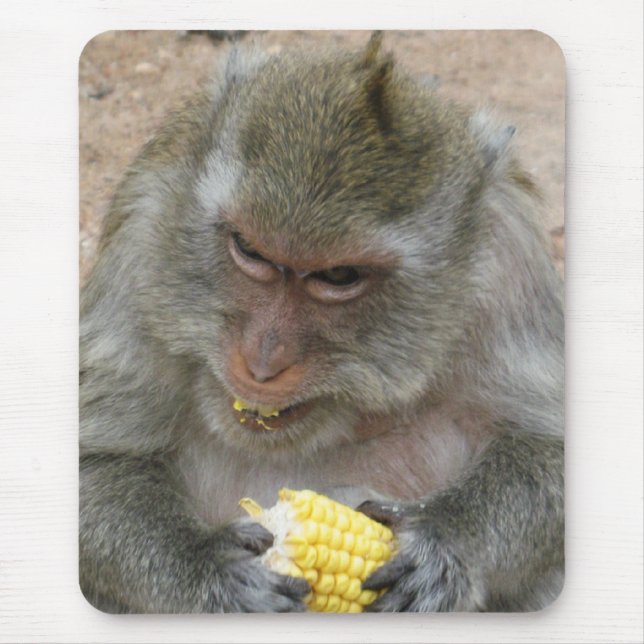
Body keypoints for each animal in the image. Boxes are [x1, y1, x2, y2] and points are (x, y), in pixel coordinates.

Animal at [79, 32, 564, 613]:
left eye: (338, 276)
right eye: (250, 250)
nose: (262, 362)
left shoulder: (512, 260)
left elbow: (547, 446)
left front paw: (444, 539)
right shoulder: (145, 222)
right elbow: (97, 460)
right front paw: (207, 566)